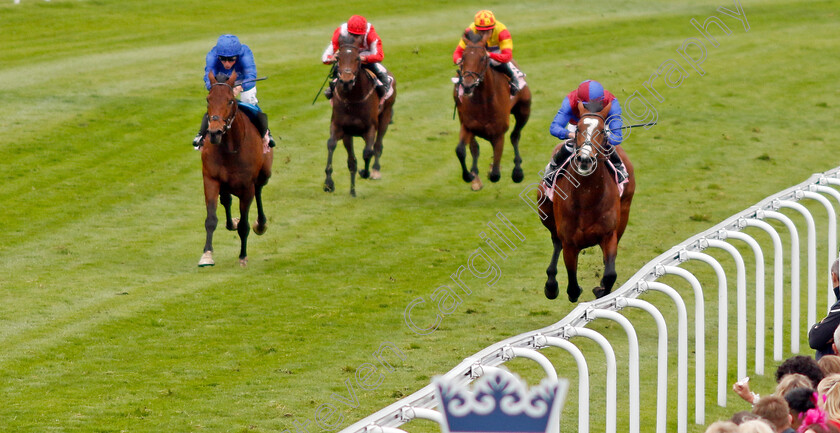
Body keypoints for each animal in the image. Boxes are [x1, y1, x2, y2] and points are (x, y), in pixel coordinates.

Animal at [199, 71, 274, 266]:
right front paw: (207, 254)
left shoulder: (247, 186)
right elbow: (211, 219)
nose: (215, 132)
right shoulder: (211, 179)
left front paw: (242, 256)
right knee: (226, 200)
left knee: (259, 191)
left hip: (264, 173)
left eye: (230, 100)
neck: (230, 148)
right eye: (208, 99)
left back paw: (261, 224)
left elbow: (244, 225)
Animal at [324, 34, 398, 197]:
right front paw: (329, 183)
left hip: (385, 115)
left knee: (378, 145)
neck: (352, 99)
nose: (346, 81)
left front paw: (365, 172)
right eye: (338, 58)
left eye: (358, 58)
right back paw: (352, 190)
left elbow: (367, 152)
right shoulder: (340, 127)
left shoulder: (370, 127)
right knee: (352, 159)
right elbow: (332, 145)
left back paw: (375, 171)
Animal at [452, 29, 532, 191]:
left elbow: (495, 173)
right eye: (463, 57)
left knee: (515, 136)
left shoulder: (498, 134)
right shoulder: (468, 126)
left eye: (483, 58)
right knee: (474, 147)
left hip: (524, 111)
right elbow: (461, 150)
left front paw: (494, 170)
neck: (483, 102)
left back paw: (517, 171)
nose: (468, 85)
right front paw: (469, 176)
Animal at [540, 98, 636, 300]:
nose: (585, 159)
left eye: (602, 131)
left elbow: (610, 274)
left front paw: (601, 289)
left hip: (623, 217)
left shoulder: (609, 235)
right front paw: (561, 288)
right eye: (578, 129)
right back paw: (551, 285)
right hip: (546, 214)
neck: (586, 197)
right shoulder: (569, 241)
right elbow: (572, 286)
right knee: (555, 242)